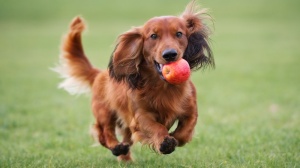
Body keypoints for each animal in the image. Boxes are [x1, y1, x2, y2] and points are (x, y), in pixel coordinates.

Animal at [53, 0, 213, 161]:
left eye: (179, 33)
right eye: (153, 36)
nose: (170, 54)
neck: (164, 87)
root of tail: (99, 74)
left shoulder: (191, 110)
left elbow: (185, 132)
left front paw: (174, 137)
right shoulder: (140, 116)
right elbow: (156, 127)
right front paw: (165, 141)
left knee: (123, 138)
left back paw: (126, 158)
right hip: (104, 112)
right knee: (104, 132)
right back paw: (116, 147)